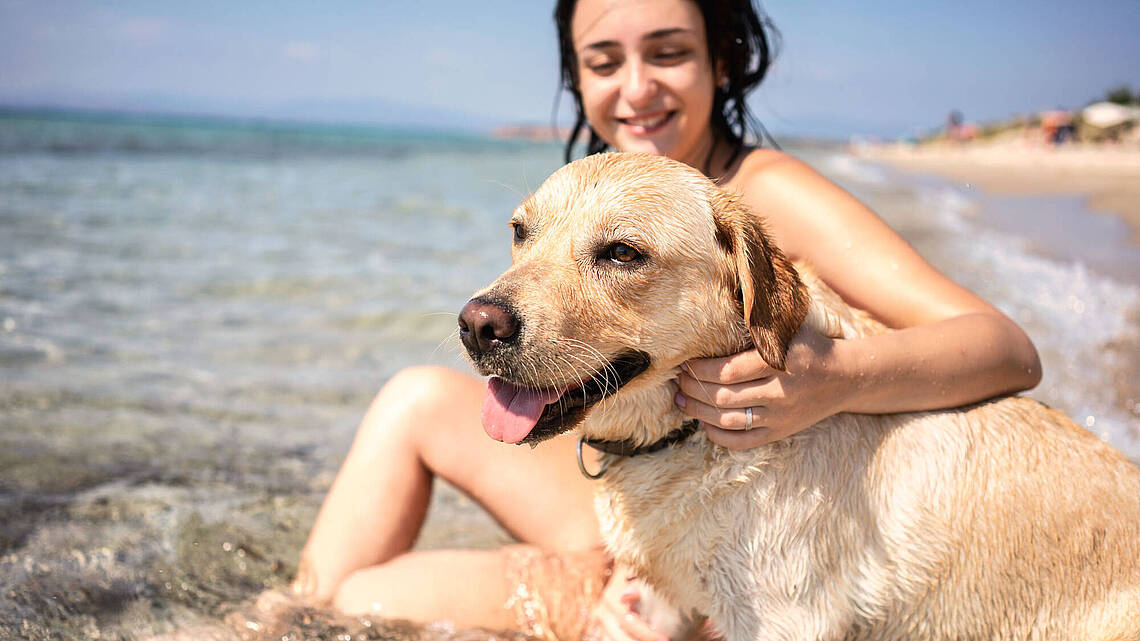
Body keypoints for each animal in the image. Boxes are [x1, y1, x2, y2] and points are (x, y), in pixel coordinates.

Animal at [456, 151, 1140, 634]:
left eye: (622, 253)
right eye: (520, 232)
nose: (476, 325)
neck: (686, 441)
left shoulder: (784, 618)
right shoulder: (660, 604)